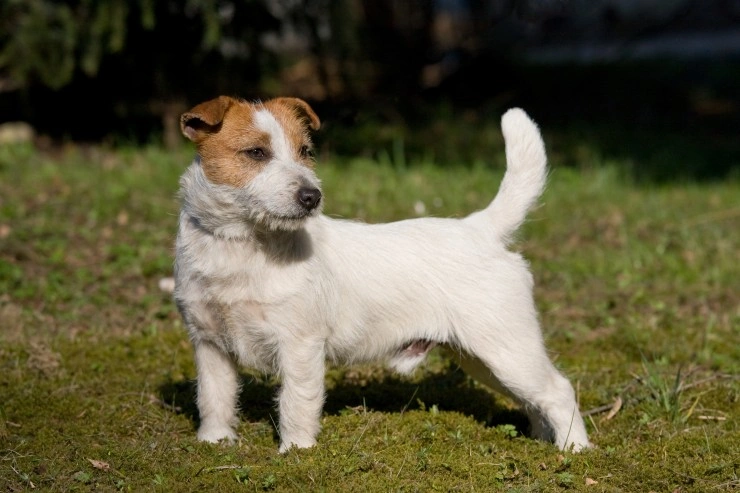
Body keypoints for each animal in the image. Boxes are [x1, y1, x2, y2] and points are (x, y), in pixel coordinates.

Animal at [172, 94, 588, 452]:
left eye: (306, 152)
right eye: (256, 153)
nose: (312, 197)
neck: (242, 244)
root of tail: (480, 228)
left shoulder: (299, 346)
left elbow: (297, 401)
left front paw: (297, 450)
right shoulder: (209, 345)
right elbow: (214, 396)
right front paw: (214, 440)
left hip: (507, 349)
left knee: (558, 390)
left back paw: (575, 450)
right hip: (484, 359)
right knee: (534, 400)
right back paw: (542, 439)